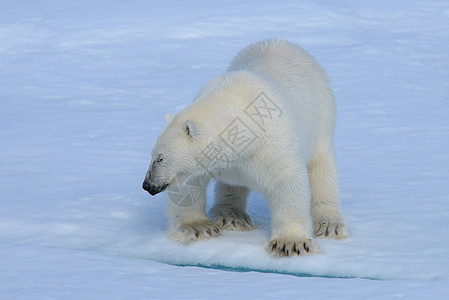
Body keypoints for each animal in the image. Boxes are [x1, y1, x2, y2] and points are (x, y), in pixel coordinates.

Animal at [142, 38, 348, 256]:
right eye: (152, 154)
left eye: (160, 157)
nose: (147, 185)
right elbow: (189, 186)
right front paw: (198, 227)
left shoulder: (272, 144)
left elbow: (287, 182)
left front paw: (290, 242)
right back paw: (231, 216)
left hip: (322, 119)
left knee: (322, 171)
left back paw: (329, 224)